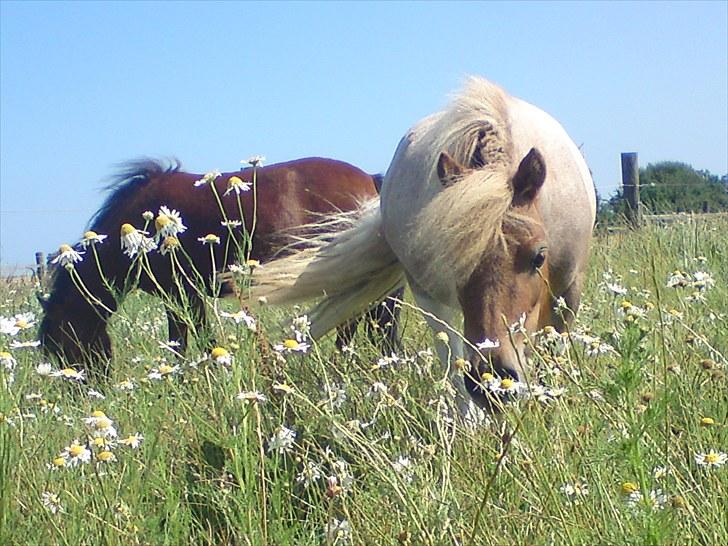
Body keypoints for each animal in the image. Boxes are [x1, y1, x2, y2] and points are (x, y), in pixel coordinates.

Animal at [236, 78, 596, 412]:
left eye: (538, 257)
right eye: (452, 259)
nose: (492, 381)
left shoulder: (569, 290)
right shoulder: (429, 296)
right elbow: (453, 364)